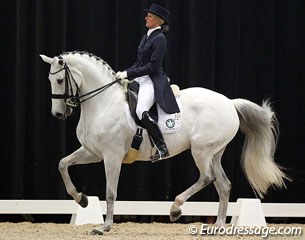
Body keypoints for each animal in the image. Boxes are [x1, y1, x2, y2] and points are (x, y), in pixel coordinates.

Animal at [39, 51, 288, 235]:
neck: (104, 103)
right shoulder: (92, 152)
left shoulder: (112, 156)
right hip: (214, 153)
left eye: (59, 80)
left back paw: (176, 209)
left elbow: (110, 192)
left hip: (201, 151)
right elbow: (63, 164)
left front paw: (105, 226)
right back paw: (217, 226)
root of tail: (230, 103)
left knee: (207, 178)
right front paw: (81, 200)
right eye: (50, 80)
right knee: (223, 184)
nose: (58, 114)